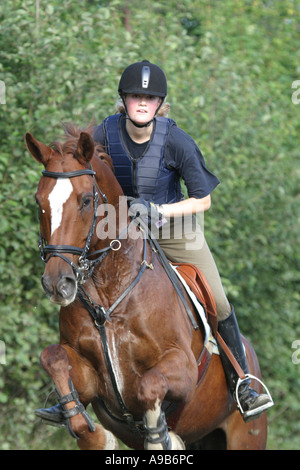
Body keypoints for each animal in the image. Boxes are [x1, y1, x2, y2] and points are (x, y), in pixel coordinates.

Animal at [25, 123, 268, 450]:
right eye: (39, 201)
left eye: (86, 200)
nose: (57, 283)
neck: (109, 297)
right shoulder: (91, 378)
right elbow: (53, 357)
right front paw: (94, 435)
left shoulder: (183, 368)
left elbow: (149, 386)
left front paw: (161, 438)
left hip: (246, 434)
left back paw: (248, 395)